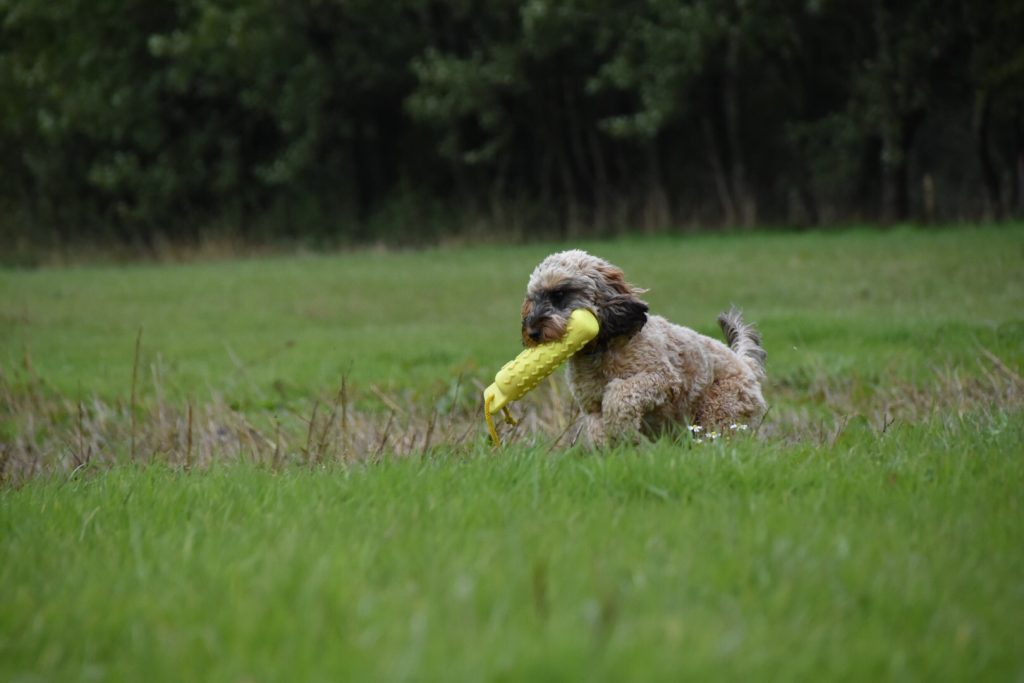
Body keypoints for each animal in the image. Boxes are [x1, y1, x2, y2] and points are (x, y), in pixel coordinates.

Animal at [520, 248, 770, 446]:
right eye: (533, 298)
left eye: (559, 294)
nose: (531, 332)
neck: (601, 349)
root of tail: (745, 364)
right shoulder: (590, 406)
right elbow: (596, 427)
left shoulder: (662, 378)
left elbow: (620, 393)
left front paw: (620, 428)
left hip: (720, 410)